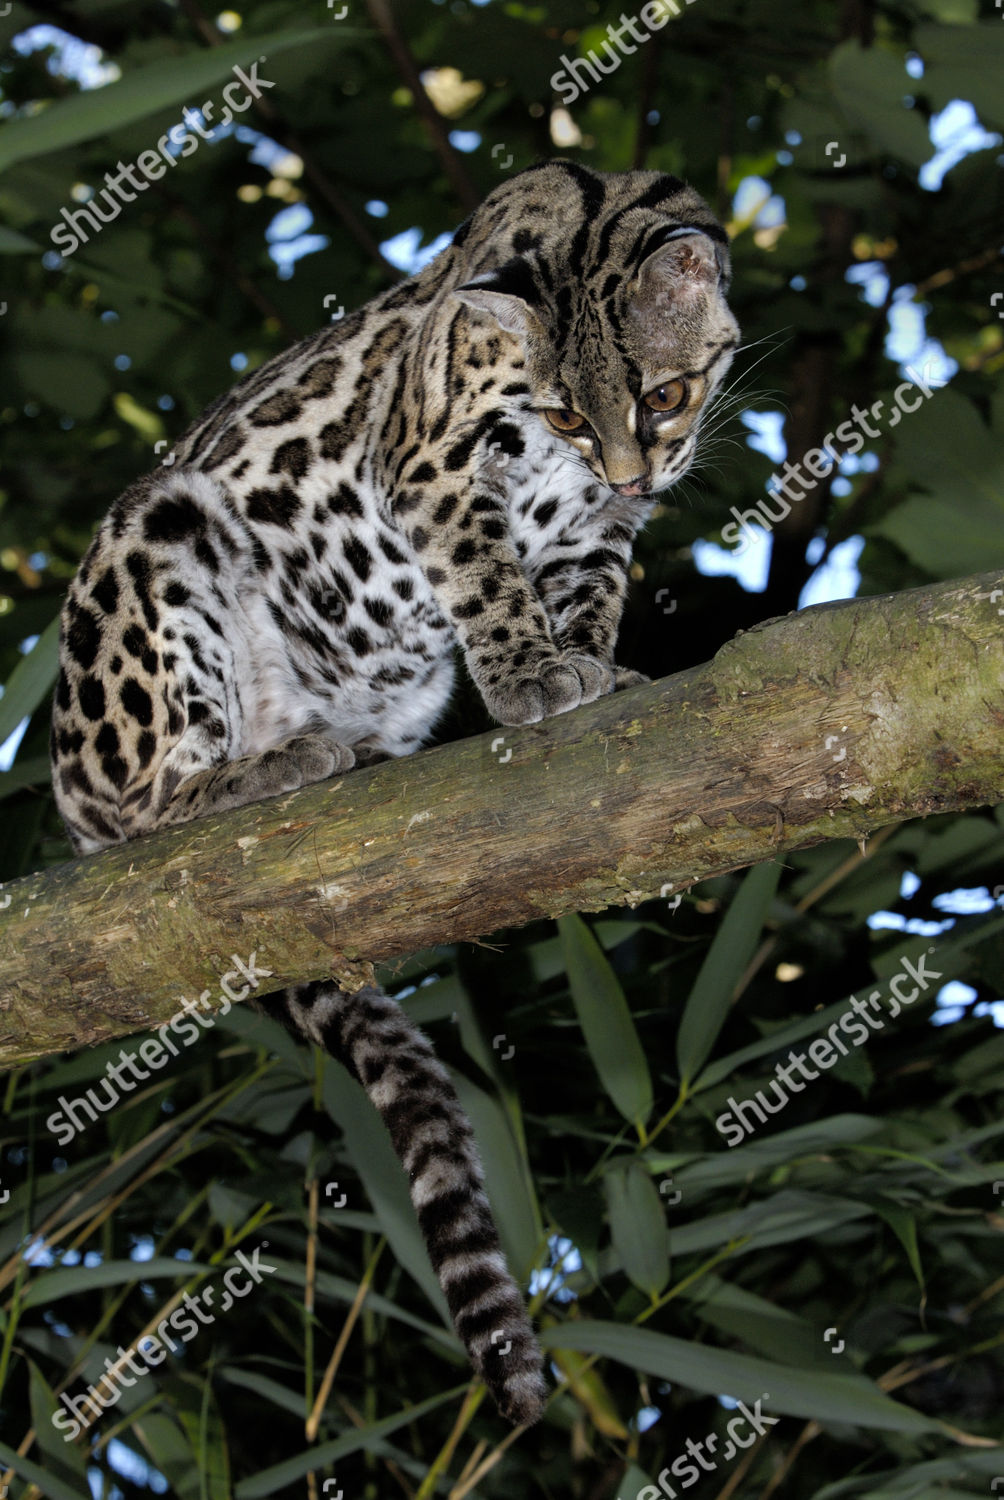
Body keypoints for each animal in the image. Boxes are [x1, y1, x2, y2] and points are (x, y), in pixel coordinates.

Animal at [52, 158, 735, 1422]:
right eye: (567, 415)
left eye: (662, 397)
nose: (632, 470)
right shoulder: (425, 466)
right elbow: (488, 578)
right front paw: (528, 677)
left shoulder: (596, 526)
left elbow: (587, 590)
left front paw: (593, 665)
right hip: (153, 546)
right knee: (141, 807)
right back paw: (256, 771)